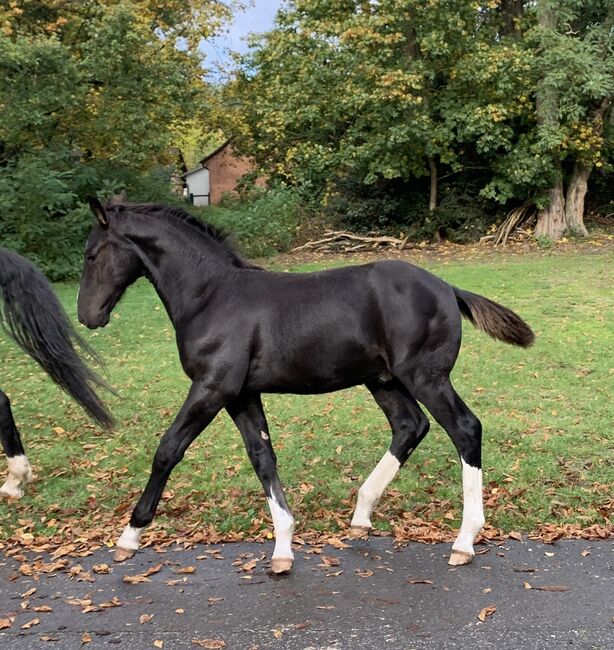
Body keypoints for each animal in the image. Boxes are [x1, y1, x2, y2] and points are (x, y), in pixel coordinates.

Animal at [79, 199, 536, 572]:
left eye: (92, 254)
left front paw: (129, 537)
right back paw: (361, 515)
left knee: (465, 429)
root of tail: (447, 288)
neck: (212, 296)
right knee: (410, 426)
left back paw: (464, 541)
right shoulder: (241, 394)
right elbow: (262, 457)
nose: (87, 315)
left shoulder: (212, 388)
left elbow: (168, 450)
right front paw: (283, 547)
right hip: (384, 380)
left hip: (427, 378)